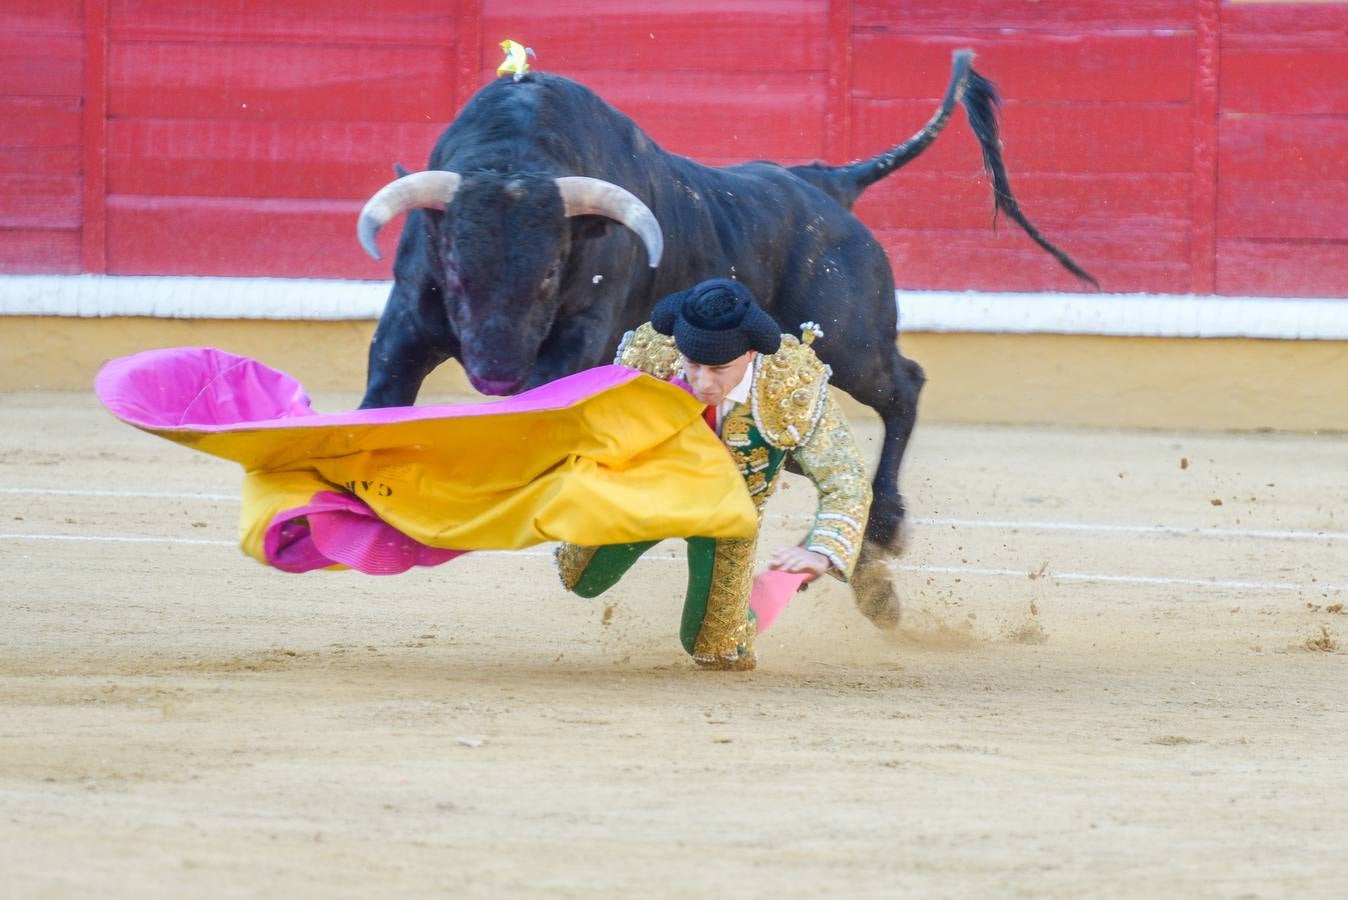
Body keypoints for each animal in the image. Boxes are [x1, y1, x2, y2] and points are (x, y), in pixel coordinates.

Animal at [353, 49, 1089, 565]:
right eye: (454, 266)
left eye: (553, 271)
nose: (495, 374)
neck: (513, 162)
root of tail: (827, 184)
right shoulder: (405, 329)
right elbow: (377, 404)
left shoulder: (577, 339)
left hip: (852, 341)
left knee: (904, 384)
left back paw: (884, 525)